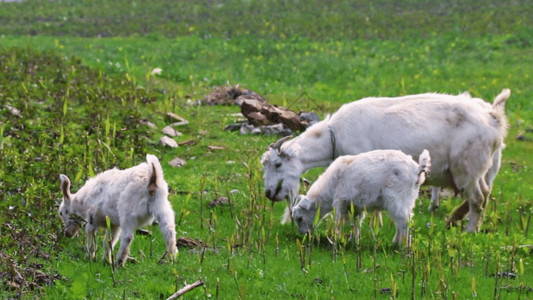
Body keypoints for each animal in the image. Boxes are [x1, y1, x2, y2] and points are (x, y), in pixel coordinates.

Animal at [260, 88, 510, 232]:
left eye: (278, 164)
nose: (269, 193)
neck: (335, 134)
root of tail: (493, 117)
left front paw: (375, 223)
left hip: (467, 167)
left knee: (478, 198)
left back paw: (469, 230)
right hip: (480, 170)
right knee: (484, 193)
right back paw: (453, 220)